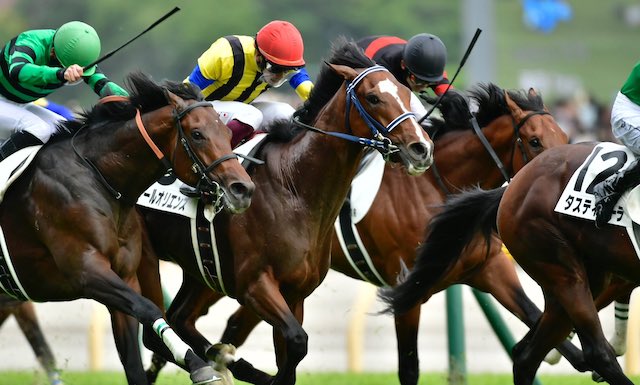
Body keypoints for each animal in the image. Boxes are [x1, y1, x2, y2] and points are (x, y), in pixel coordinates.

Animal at [0, 72, 255, 384]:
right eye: (197, 134)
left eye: (229, 134)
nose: (242, 189)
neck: (97, 177)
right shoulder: (87, 271)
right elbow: (148, 308)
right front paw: (199, 364)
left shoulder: (125, 277)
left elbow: (135, 357)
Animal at [138, 38, 432, 384]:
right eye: (373, 98)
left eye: (405, 94)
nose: (421, 148)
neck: (294, 188)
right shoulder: (255, 285)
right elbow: (297, 341)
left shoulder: (295, 293)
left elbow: (290, 353)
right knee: (154, 328)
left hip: (202, 268)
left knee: (180, 318)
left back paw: (219, 358)